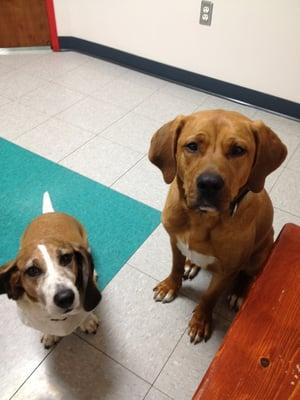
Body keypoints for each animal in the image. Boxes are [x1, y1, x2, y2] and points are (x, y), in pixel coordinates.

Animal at [0, 193, 101, 346]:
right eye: (32, 270)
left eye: (66, 258)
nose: (65, 297)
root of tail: (48, 213)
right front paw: (49, 335)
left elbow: (86, 314)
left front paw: (88, 321)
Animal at [149, 109, 288, 344]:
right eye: (192, 146)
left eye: (238, 150)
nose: (209, 183)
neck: (201, 219)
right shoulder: (175, 242)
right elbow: (176, 267)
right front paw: (170, 286)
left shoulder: (226, 270)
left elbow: (209, 297)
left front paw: (200, 321)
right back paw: (191, 264)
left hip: (261, 251)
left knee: (248, 275)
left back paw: (239, 292)